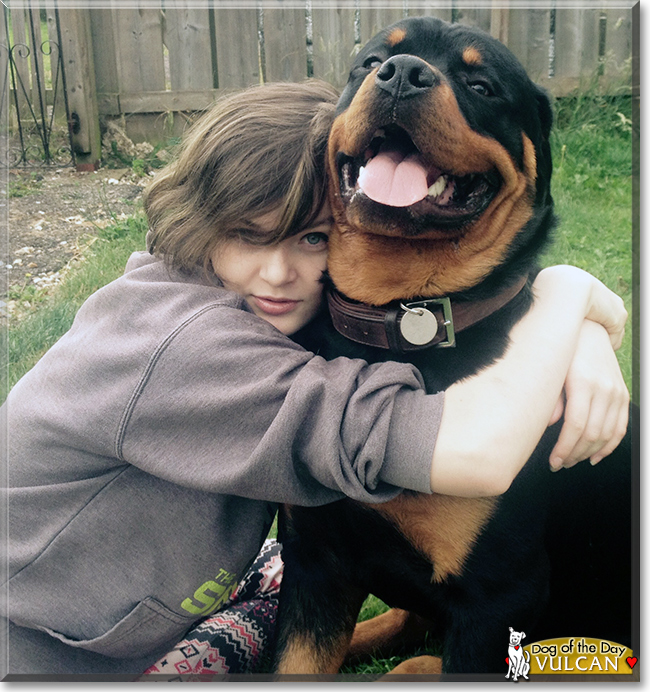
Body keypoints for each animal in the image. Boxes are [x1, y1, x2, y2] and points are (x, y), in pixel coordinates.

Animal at [270, 14, 632, 676]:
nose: (403, 74)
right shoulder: (313, 561)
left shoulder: (499, 594)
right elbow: (296, 661)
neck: (400, 320)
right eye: (371, 62)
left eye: (481, 85)